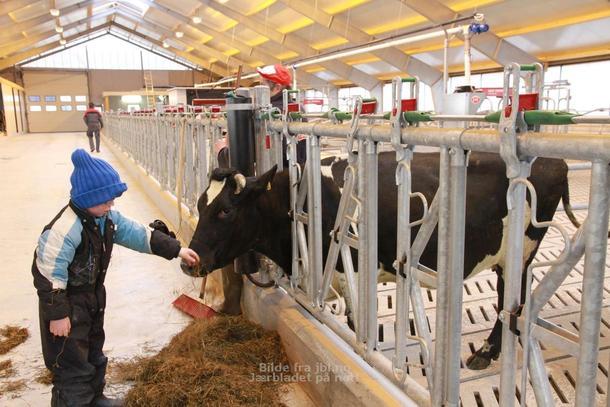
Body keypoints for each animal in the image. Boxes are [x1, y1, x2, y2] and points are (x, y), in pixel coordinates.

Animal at [180, 152, 576, 370]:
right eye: (200, 203)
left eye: (226, 210)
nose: (188, 262)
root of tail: (556, 161)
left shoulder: (352, 274)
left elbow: (356, 325)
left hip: (521, 252)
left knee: (512, 300)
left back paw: (487, 352)